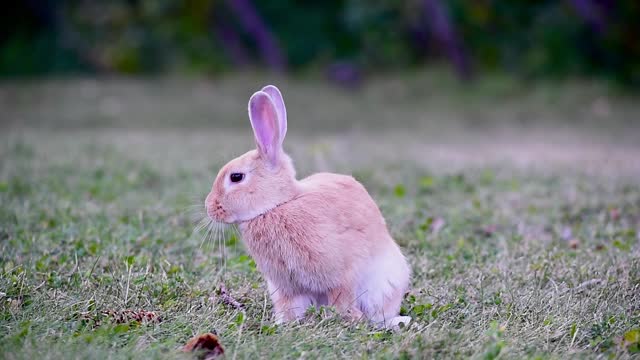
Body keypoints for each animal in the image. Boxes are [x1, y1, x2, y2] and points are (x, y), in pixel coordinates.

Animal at [208, 84, 412, 330]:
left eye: (236, 177)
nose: (210, 207)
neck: (279, 204)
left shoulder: (342, 275)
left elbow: (342, 299)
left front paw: (347, 320)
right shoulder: (286, 288)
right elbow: (290, 308)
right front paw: (282, 325)